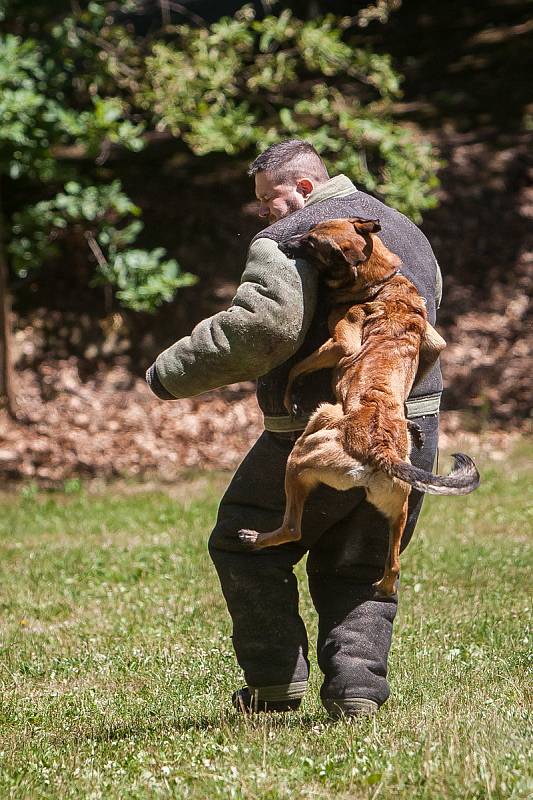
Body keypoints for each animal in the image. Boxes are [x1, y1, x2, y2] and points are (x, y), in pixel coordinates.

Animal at [239, 217, 480, 592]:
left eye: (311, 243)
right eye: (309, 231)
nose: (282, 244)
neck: (381, 283)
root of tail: (381, 452)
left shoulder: (343, 343)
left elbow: (295, 369)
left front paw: (289, 396)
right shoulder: (434, 343)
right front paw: (410, 421)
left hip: (306, 448)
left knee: (293, 527)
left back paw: (254, 538)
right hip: (397, 507)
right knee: (393, 565)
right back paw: (382, 585)